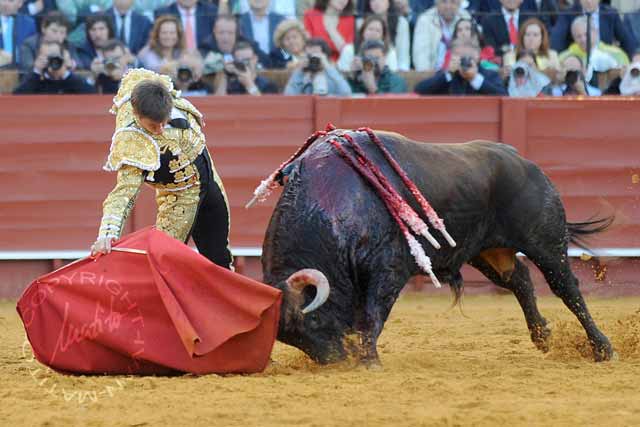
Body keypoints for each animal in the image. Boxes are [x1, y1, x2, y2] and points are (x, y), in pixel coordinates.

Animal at [262, 129, 616, 366]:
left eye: (312, 322)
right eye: (290, 338)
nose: (336, 360)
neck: (334, 201)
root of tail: (521, 159)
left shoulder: (389, 269)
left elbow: (373, 314)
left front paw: (369, 359)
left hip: (544, 240)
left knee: (566, 287)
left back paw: (602, 348)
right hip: (485, 251)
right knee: (520, 280)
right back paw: (542, 336)